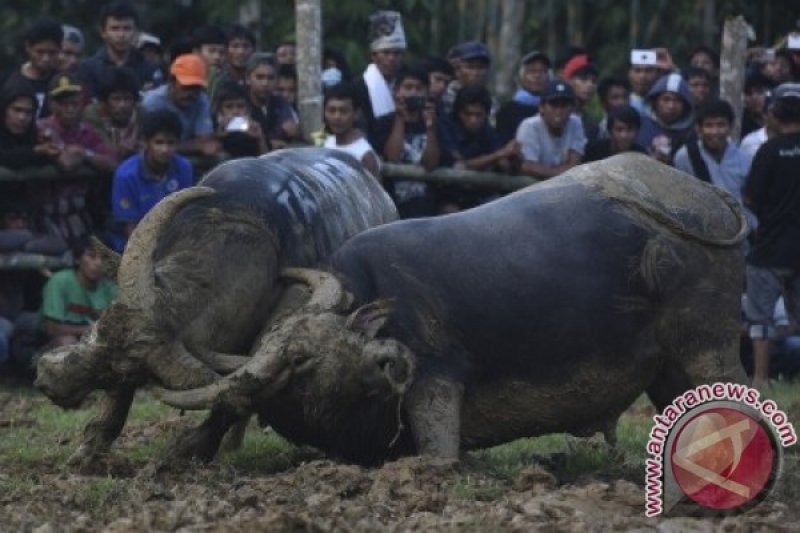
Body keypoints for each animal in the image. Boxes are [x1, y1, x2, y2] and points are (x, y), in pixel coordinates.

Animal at [36, 148, 398, 464]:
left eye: (128, 369)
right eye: (100, 324)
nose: (50, 380)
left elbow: (234, 398)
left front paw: (188, 451)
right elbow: (118, 399)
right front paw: (88, 451)